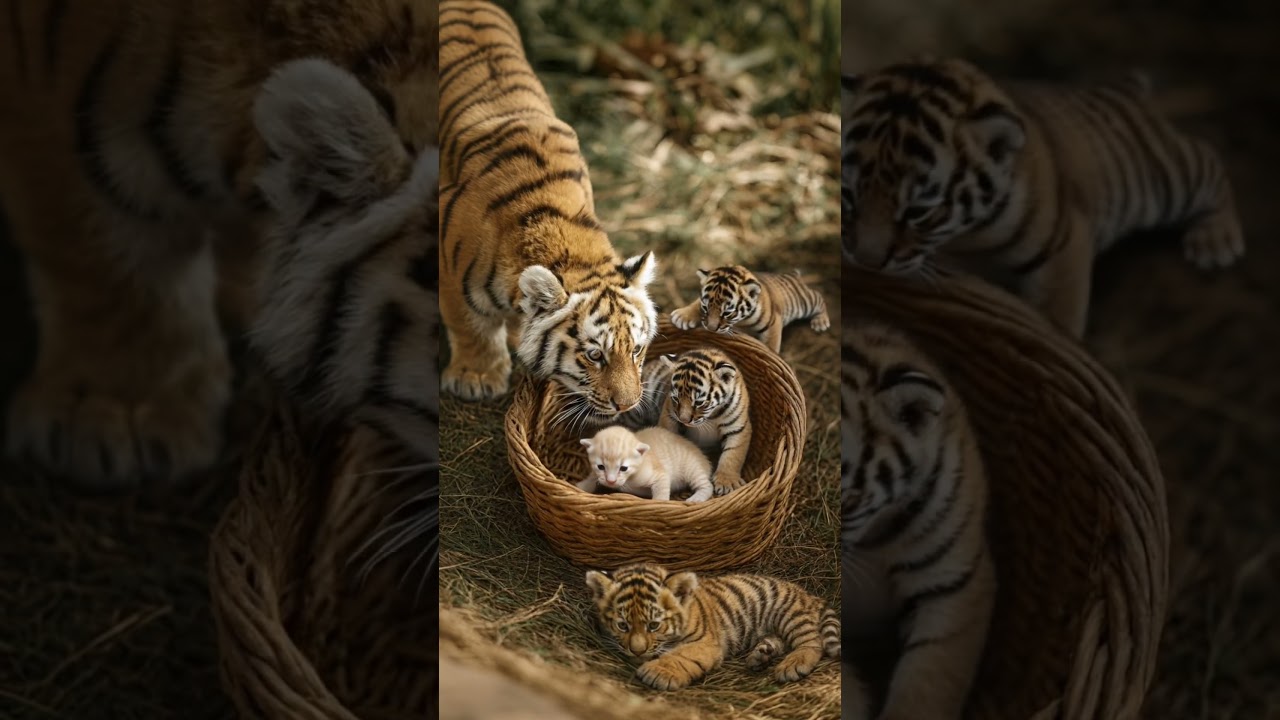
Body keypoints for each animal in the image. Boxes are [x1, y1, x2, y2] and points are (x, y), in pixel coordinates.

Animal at [438, 0, 658, 419]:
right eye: (594, 355)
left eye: (636, 350)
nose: (627, 405)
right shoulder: (453, 276)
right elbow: (471, 326)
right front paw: (477, 379)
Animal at [585, 562, 841, 691]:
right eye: (622, 625)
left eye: (654, 625)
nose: (637, 652)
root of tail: (810, 595)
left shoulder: (706, 642)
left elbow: (681, 655)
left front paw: (657, 672)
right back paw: (760, 656)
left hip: (789, 613)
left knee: (812, 641)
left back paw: (792, 665)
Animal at [657, 349, 753, 496]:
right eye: (676, 398)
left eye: (698, 402)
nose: (684, 420)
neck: (711, 416)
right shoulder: (669, 415)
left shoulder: (738, 428)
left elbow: (733, 454)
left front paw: (727, 482)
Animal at [669, 265, 830, 354]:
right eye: (705, 307)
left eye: (727, 312)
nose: (711, 329)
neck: (740, 321)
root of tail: (792, 274)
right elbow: (696, 303)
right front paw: (682, 316)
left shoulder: (772, 324)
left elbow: (771, 344)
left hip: (804, 302)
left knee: (819, 297)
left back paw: (820, 322)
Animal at [841, 58, 1245, 338]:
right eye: (848, 194)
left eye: (918, 210)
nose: (867, 261)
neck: (962, 238)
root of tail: (1125, 89)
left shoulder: (1061, 246)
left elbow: (1057, 318)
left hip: (1163, 177)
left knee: (1209, 159)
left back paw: (1215, 241)